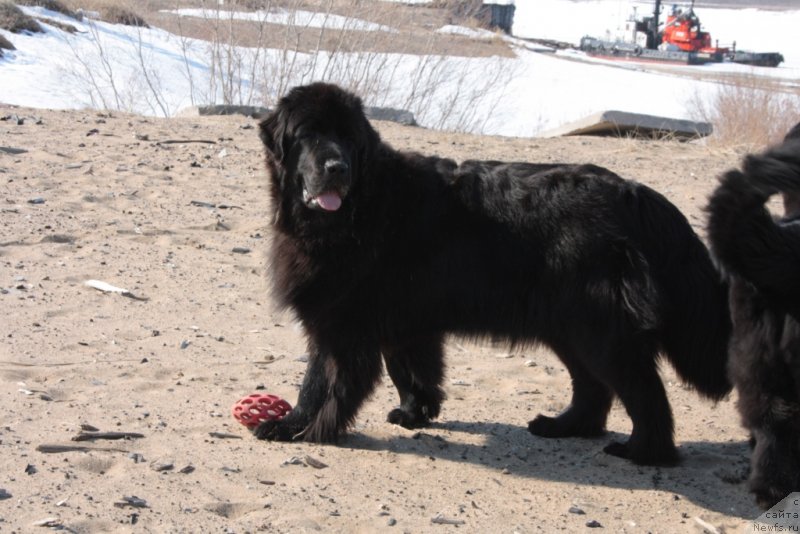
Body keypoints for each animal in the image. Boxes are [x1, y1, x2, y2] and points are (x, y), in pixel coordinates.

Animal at [258, 81, 732, 466]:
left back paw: (644, 452)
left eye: (348, 138)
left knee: (644, 393)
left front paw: (300, 429)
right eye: (308, 135)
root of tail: (635, 194)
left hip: (600, 331)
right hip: (571, 326)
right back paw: (564, 427)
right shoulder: (405, 319)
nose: (336, 167)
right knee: (594, 388)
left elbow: (320, 382)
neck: (363, 206)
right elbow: (409, 370)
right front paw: (414, 413)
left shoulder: (341, 323)